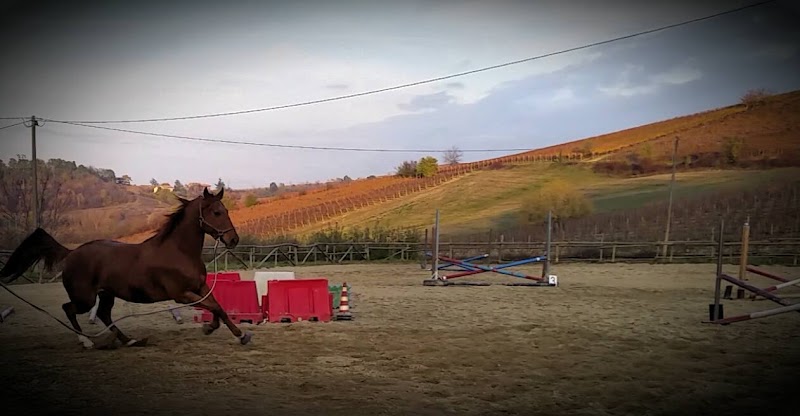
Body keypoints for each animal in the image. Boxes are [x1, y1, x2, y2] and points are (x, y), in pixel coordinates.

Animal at [0, 187, 253, 349]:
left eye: (226, 211)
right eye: (217, 212)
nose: (233, 240)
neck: (179, 252)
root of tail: (72, 253)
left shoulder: (200, 287)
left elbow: (217, 306)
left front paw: (226, 331)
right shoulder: (181, 294)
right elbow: (214, 306)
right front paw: (230, 333)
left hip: (106, 294)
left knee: (103, 314)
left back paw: (129, 340)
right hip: (85, 299)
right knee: (69, 309)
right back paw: (86, 341)